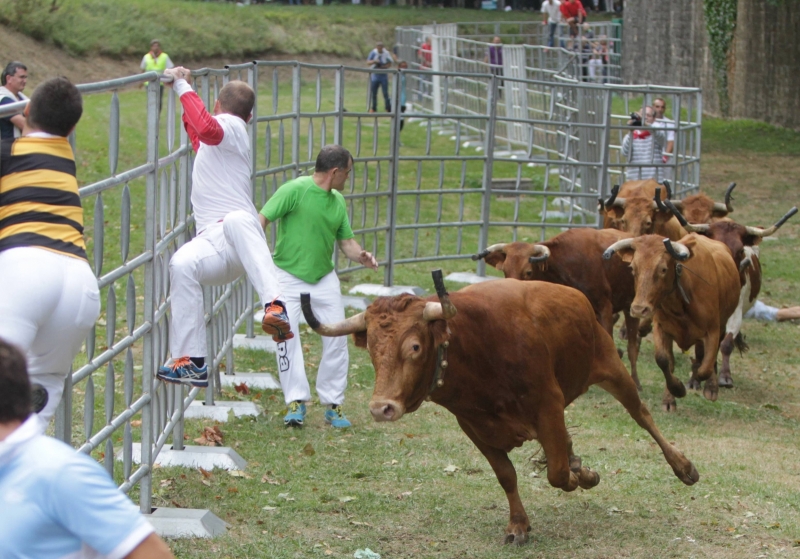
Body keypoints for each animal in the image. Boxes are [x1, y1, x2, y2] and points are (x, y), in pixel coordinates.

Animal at [302, 272, 700, 548]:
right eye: (370, 347)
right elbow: (508, 475)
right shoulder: (474, 426)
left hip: (610, 367)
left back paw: (682, 466)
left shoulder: (548, 405)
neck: (475, 351)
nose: (381, 407)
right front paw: (519, 525)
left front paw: (579, 477)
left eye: (414, 346)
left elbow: (557, 474)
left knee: (642, 415)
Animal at [472, 226, 648, 390]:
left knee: (632, 346)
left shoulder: (604, 306)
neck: (564, 263)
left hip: (630, 307)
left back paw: (636, 381)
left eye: (528, 272)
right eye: (505, 271)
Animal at [664, 201, 796, 390]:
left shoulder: (735, 311)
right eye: (713, 245)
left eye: (740, 250)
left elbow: (726, 343)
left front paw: (725, 377)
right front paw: (695, 379)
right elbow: (700, 346)